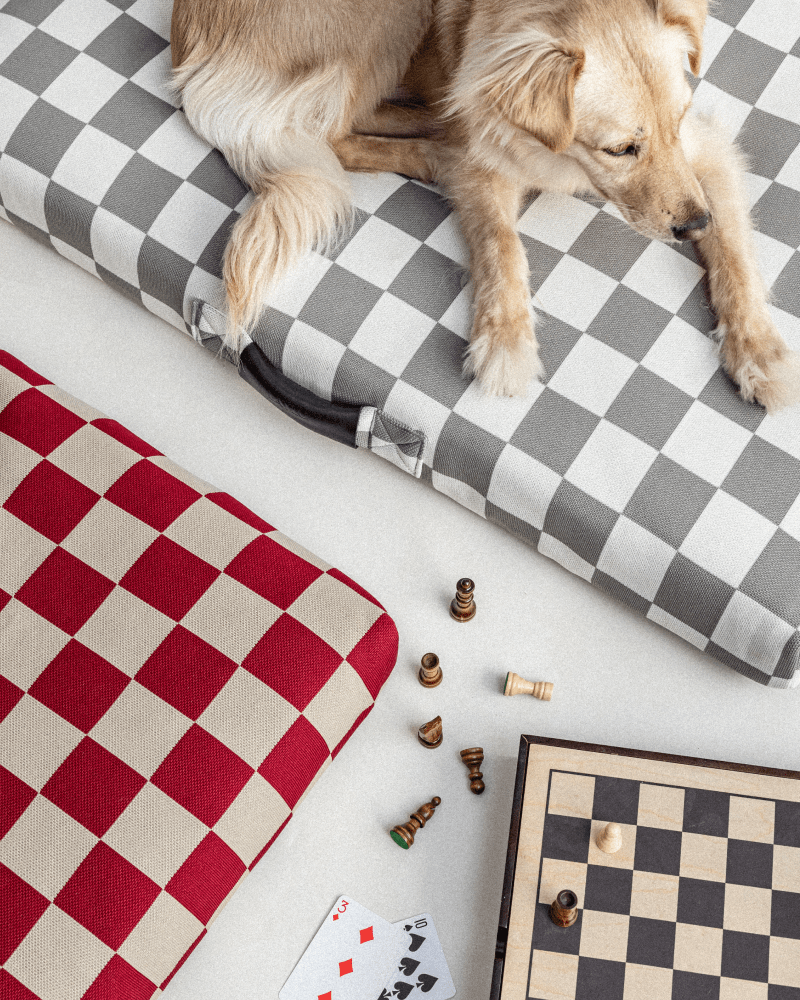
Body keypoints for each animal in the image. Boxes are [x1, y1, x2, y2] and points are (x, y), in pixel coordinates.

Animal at [170, 0, 800, 410]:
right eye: (621, 148)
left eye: (677, 121)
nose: (694, 223)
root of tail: (189, 59)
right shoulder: (485, 170)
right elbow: (502, 247)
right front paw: (505, 342)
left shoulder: (706, 154)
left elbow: (735, 258)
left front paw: (760, 354)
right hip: (389, 17)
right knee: (337, 129)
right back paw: (432, 135)